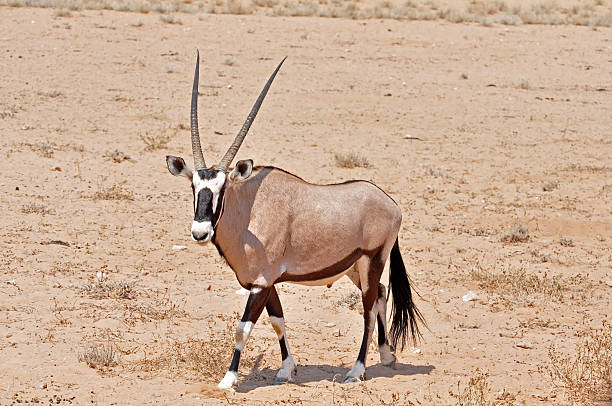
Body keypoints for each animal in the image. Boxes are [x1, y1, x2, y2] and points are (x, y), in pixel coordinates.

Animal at [167, 51, 426, 390]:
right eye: (194, 187)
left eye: (222, 188)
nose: (200, 232)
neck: (249, 211)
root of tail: (391, 203)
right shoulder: (265, 283)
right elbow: (277, 320)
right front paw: (286, 369)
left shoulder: (261, 282)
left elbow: (243, 328)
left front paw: (229, 379)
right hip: (354, 267)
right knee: (382, 294)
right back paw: (386, 356)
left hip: (373, 260)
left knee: (369, 309)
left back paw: (356, 370)